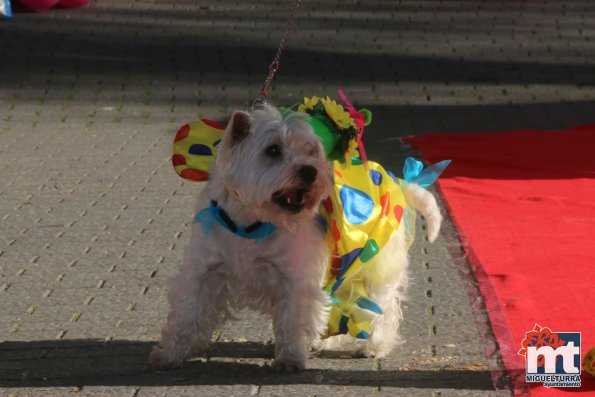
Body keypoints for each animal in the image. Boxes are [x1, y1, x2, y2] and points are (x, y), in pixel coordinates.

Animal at [152, 103, 442, 370]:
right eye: (273, 150)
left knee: (382, 307)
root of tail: (400, 183)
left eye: (310, 150)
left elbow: (293, 319)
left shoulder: (296, 279)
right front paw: (171, 354)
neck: (251, 223)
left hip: (374, 265)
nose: (310, 171)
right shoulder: (203, 272)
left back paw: (373, 346)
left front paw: (290, 359)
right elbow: (186, 312)